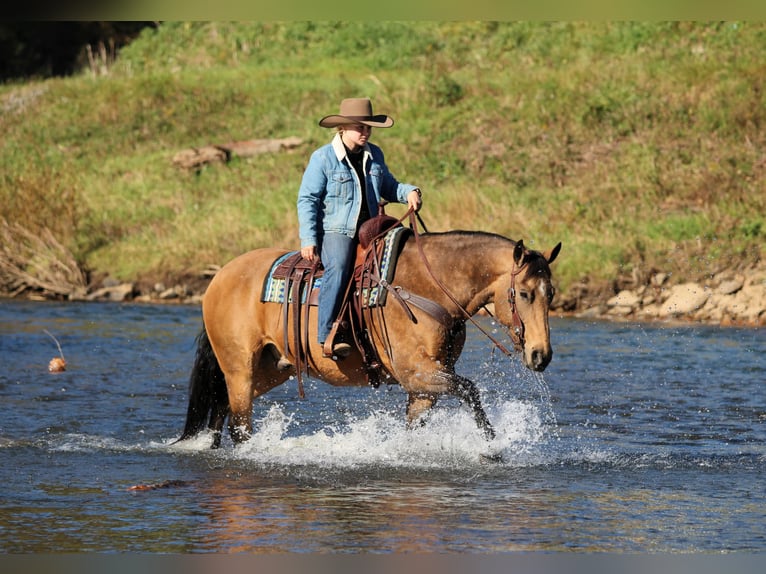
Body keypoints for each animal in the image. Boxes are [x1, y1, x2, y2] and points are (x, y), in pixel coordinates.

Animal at [178, 220, 561, 448]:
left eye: (551, 293)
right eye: (524, 293)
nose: (541, 356)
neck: (426, 287)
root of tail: (220, 276)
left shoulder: (426, 383)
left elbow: (417, 425)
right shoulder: (415, 372)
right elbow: (470, 390)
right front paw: (491, 448)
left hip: (270, 368)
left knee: (221, 408)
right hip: (239, 368)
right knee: (239, 425)